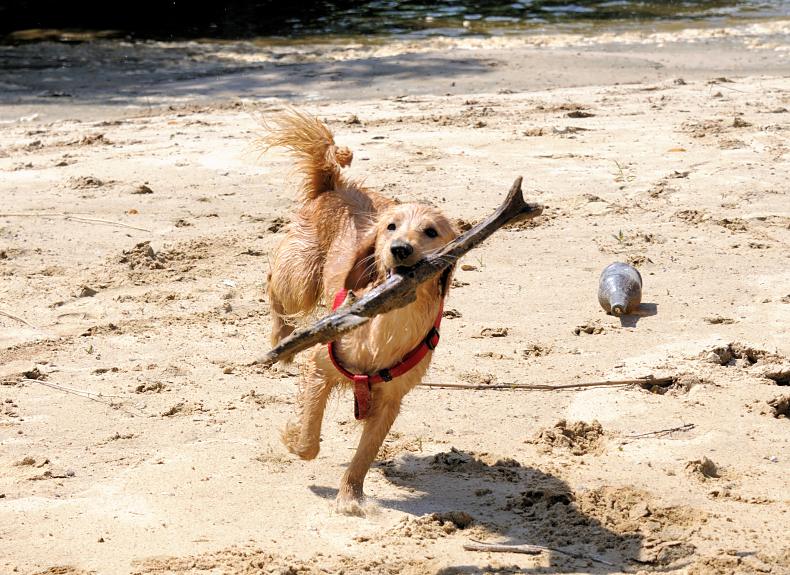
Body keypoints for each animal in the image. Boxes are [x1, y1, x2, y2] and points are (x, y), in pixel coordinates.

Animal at [264, 110, 458, 516]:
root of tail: (334, 184)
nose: (400, 249)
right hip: (299, 278)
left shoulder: (390, 401)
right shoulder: (320, 366)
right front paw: (293, 438)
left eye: (430, 231)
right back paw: (280, 340)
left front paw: (350, 496)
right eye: (390, 227)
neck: (387, 322)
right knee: (275, 288)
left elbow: (364, 457)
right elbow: (309, 440)